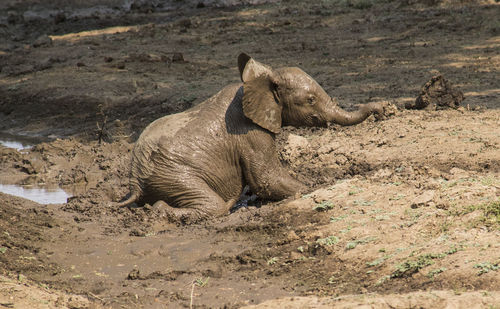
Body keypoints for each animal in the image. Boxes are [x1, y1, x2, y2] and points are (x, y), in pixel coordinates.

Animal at [117, 52, 386, 221]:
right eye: (310, 100)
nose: (382, 109)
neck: (257, 85)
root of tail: (134, 181)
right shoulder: (250, 134)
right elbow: (267, 179)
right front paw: (312, 187)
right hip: (174, 176)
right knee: (212, 205)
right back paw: (161, 211)